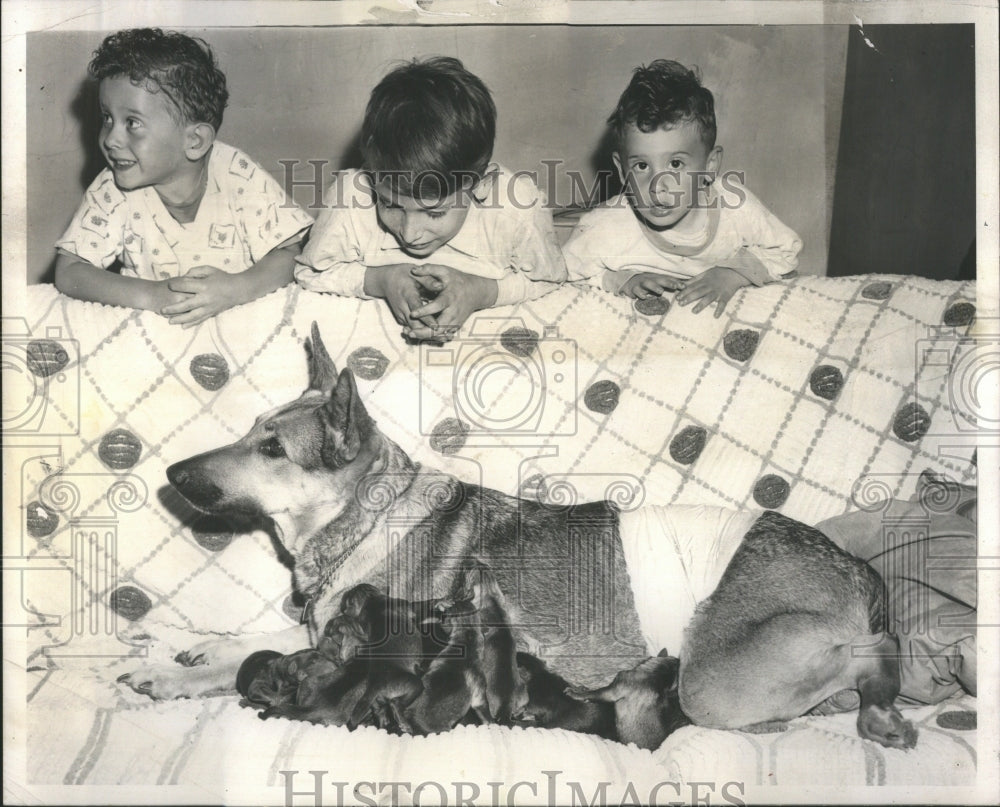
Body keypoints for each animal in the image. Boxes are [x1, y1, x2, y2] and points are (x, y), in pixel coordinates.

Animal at [117, 324, 916, 752]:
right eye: (252, 431)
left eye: (272, 449)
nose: (171, 472)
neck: (367, 515)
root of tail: (855, 568)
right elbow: (248, 641)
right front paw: (196, 653)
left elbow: (250, 658)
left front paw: (176, 675)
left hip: (715, 681)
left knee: (869, 656)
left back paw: (881, 707)